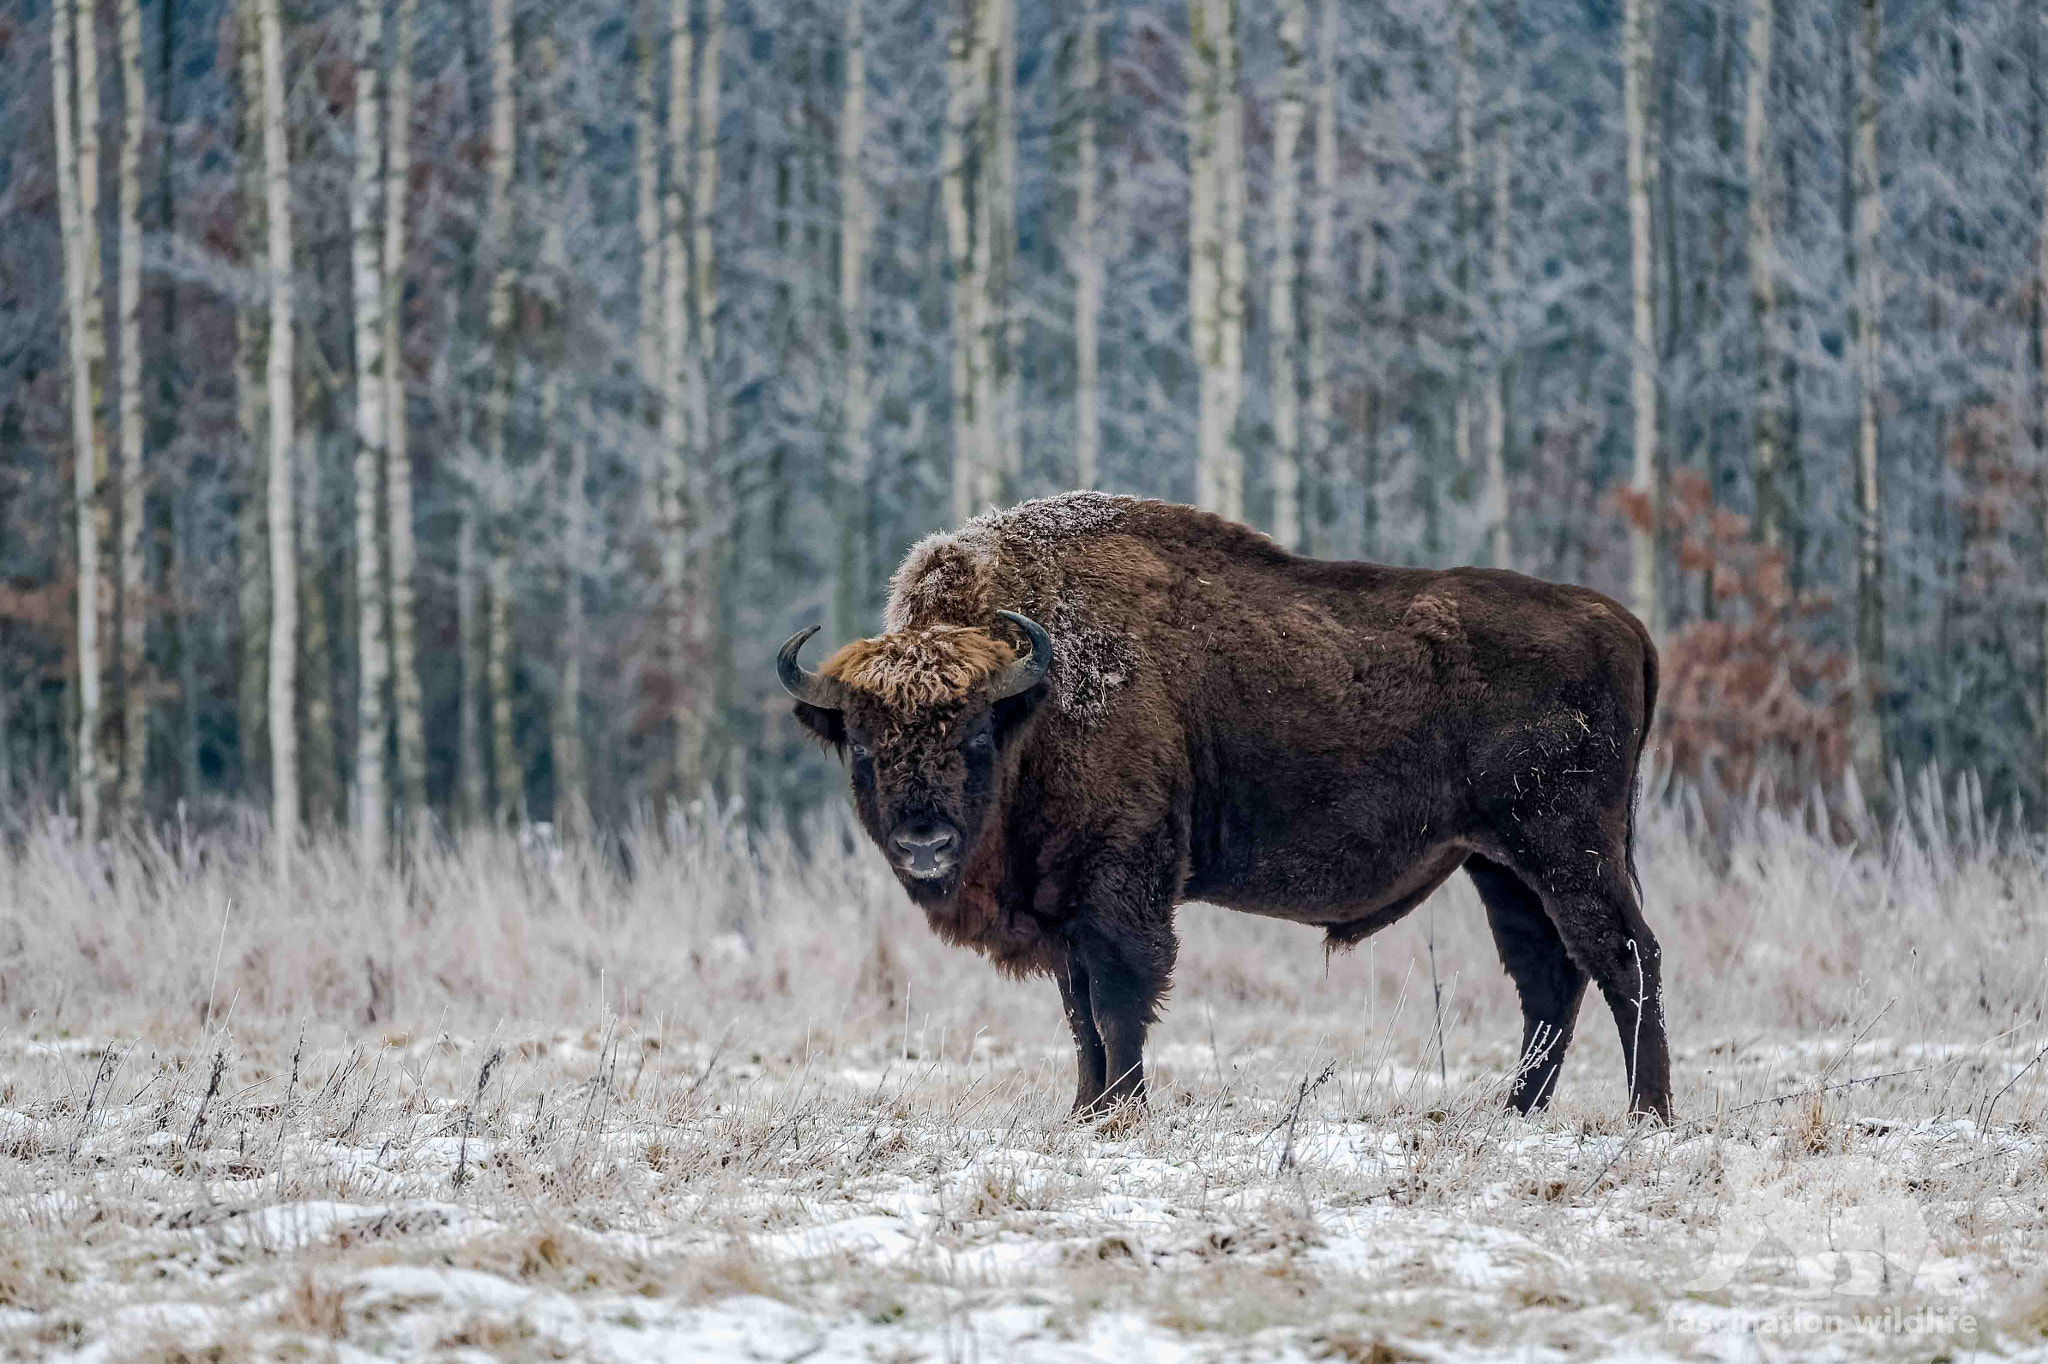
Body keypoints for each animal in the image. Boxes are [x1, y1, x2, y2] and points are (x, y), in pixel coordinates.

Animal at [779, 493, 1671, 1121]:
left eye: (972, 736)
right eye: (863, 747)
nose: (924, 842)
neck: (1033, 700)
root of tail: (1621, 621)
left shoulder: (1120, 884)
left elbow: (1118, 1003)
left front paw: (1122, 1113)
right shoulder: (1065, 908)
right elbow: (1080, 1017)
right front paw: (1084, 1113)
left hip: (1566, 847)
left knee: (1624, 960)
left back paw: (1648, 1116)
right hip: (1500, 863)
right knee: (1549, 977)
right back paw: (1515, 1114)